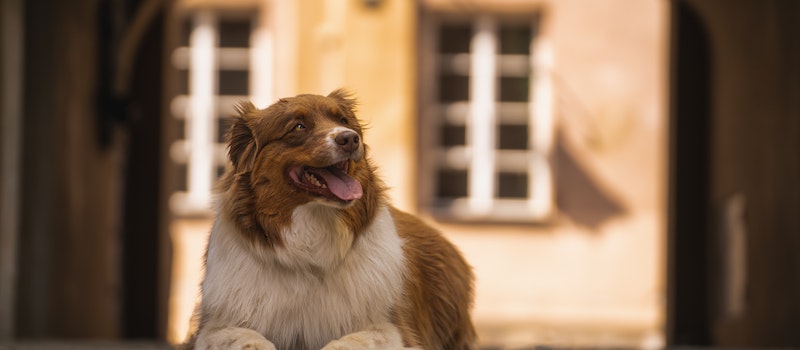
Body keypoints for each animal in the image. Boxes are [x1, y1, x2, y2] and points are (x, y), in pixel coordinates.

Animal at [183, 90, 476, 350]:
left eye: (343, 120)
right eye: (298, 126)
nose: (350, 139)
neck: (310, 248)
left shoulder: (395, 328)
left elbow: (353, 340)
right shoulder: (214, 325)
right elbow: (243, 337)